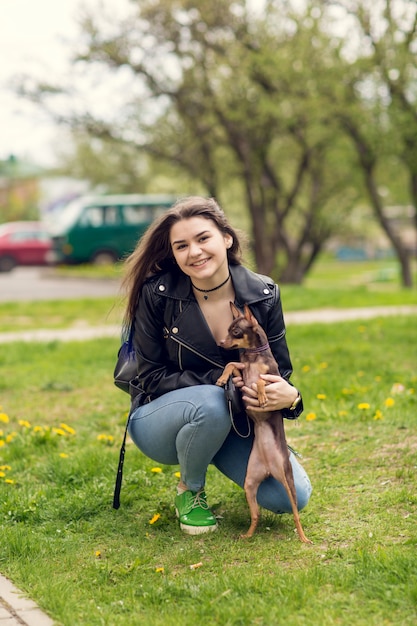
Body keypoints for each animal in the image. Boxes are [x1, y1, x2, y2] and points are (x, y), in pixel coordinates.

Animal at [216, 302, 310, 540]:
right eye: (228, 329)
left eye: (235, 331)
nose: (220, 342)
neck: (253, 359)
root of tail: (269, 468)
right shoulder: (241, 372)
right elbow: (232, 364)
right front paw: (222, 377)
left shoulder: (272, 378)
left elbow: (259, 381)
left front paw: (262, 397)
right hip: (249, 483)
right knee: (256, 514)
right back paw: (247, 535)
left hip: (288, 481)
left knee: (296, 514)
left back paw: (304, 538)